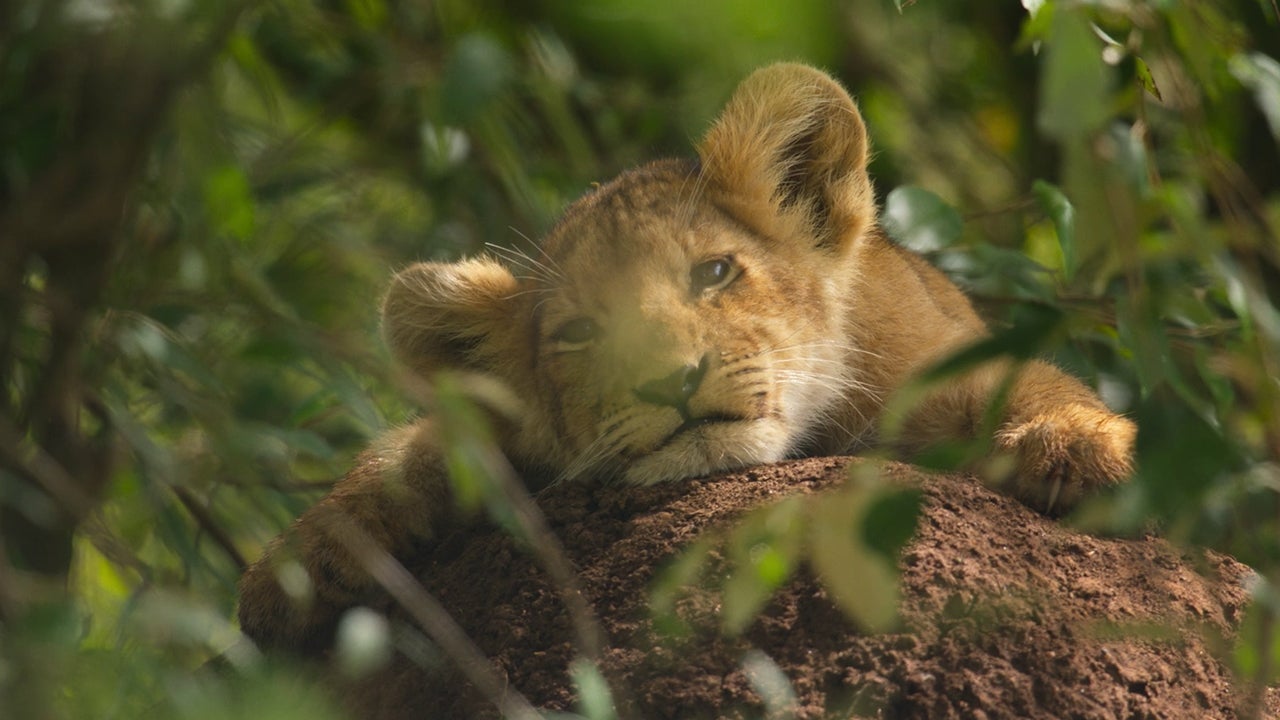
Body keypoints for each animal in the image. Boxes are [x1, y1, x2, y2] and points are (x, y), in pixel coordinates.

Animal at [237, 63, 1135, 649]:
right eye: (579, 334)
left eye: (714, 273)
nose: (672, 382)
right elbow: (414, 447)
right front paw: (298, 564)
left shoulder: (938, 362)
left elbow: (1028, 380)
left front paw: (1081, 448)